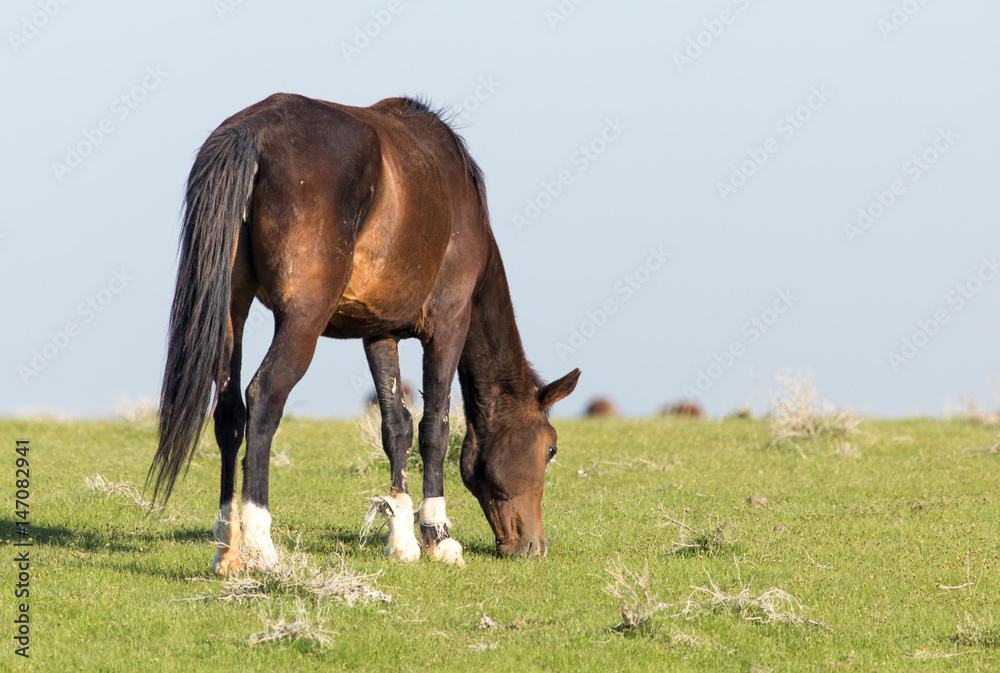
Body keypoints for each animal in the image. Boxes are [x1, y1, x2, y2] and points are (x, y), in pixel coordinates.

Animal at [147, 93, 580, 573]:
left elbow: (396, 427)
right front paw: (438, 536)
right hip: (302, 321)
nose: (532, 546)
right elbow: (435, 427)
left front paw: (404, 539)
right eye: (551, 449)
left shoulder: (379, 332)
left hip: (230, 312)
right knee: (262, 399)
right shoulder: (450, 324)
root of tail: (254, 129)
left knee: (228, 413)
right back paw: (262, 544)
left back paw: (228, 547)